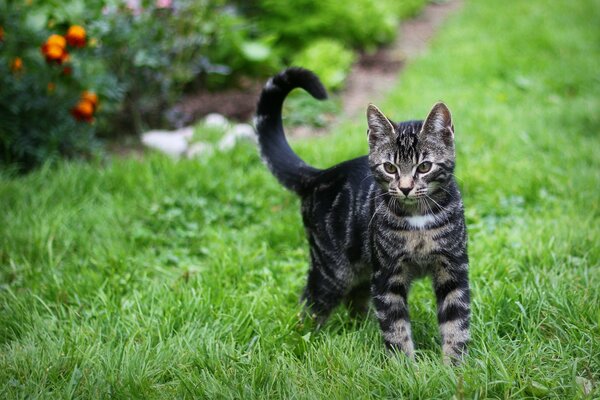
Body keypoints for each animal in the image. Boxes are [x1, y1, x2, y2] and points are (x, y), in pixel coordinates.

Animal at [253, 68, 468, 362]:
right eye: (390, 167)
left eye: (424, 167)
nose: (405, 187)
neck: (418, 221)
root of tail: (319, 175)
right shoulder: (388, 275)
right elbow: (395, 327)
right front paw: (405, 367)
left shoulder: (453, 268)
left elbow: (456, 323)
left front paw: (455, 366)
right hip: (332, 269)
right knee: (310, 304)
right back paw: (304, 339)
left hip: (362, 266)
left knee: (355, 298)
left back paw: (361, 329)